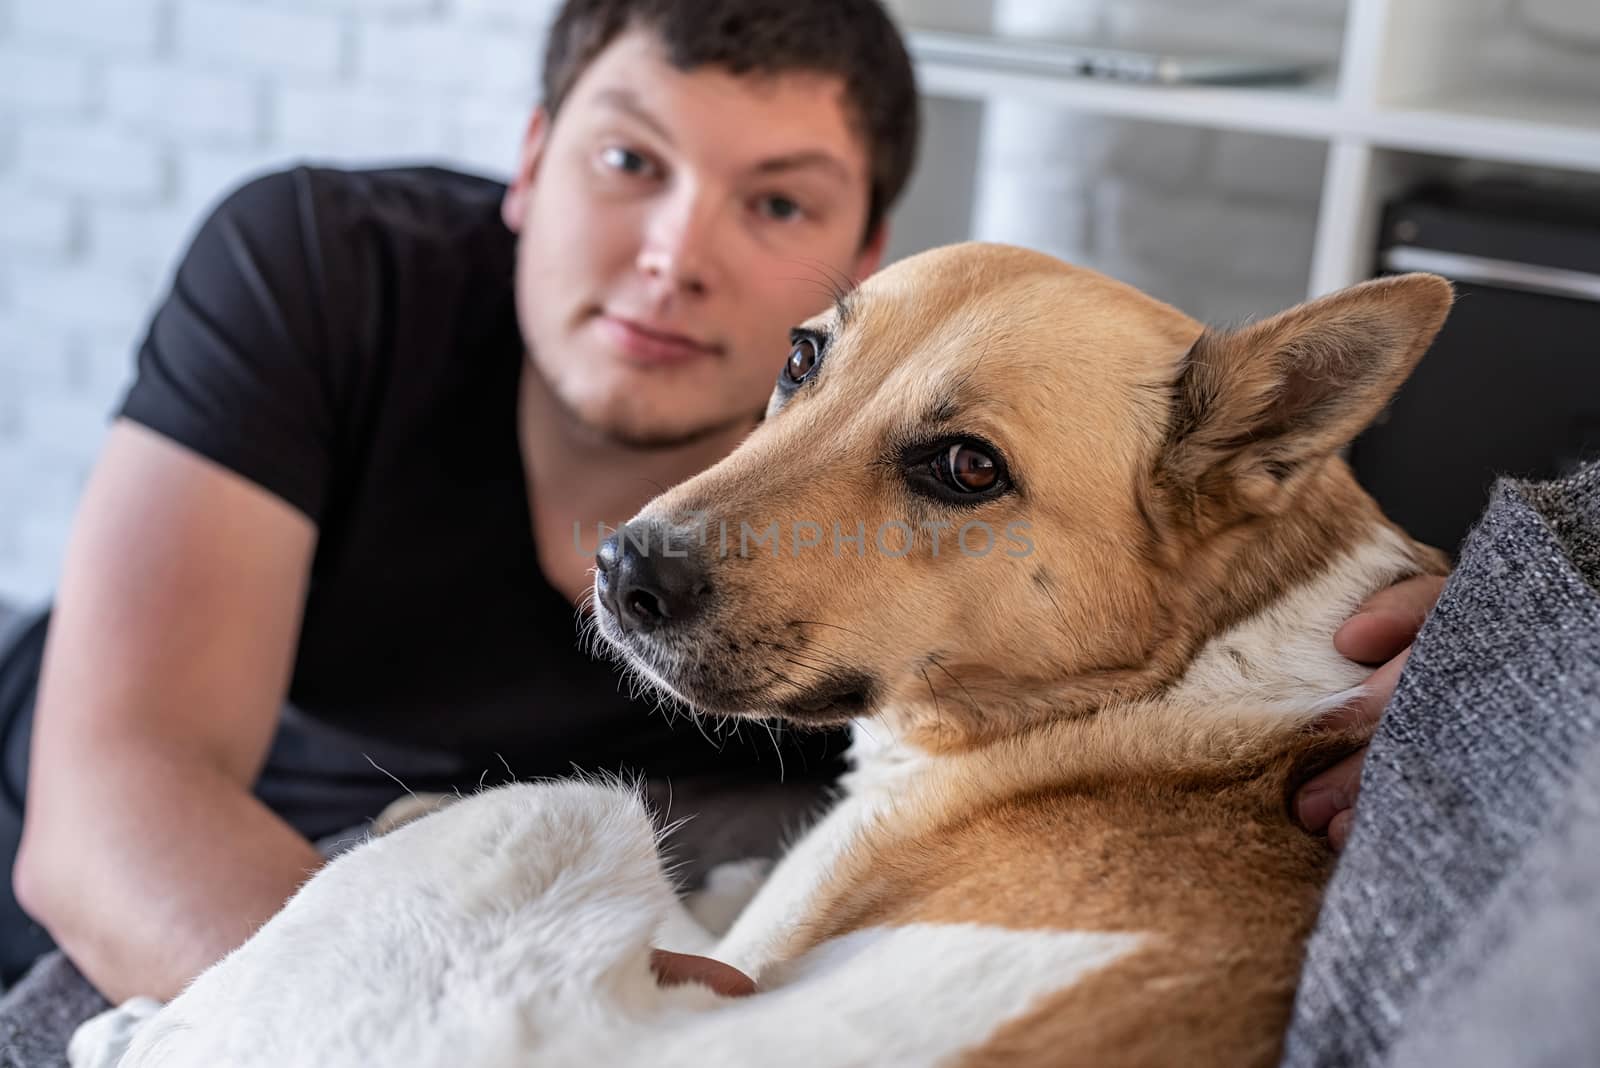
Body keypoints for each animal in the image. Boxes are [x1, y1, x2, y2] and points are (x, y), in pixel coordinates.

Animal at [90, 246, 1465, 1068]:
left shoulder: (755, 935)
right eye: (804, 357)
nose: (622, 570)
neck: (1183, 661)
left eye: (966, 468)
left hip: (551, 808)